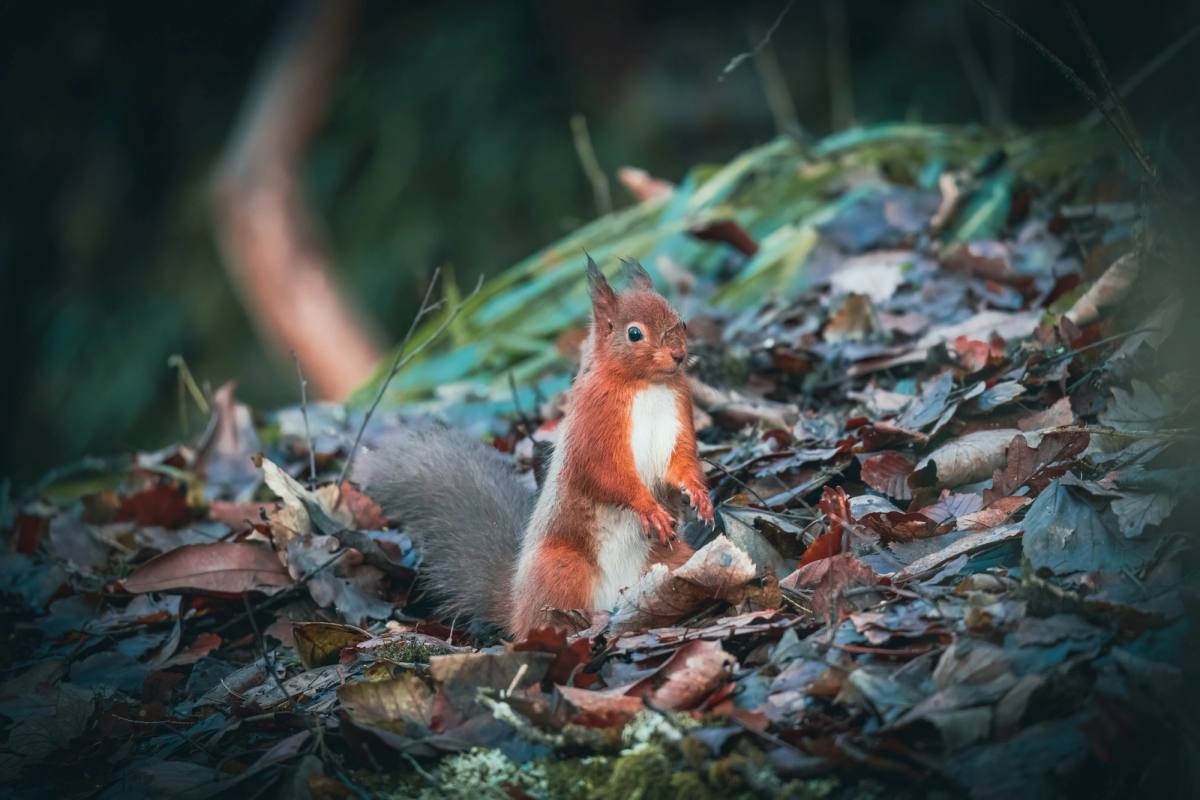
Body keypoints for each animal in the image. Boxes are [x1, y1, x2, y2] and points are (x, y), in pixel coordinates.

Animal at [355, 257, 713, 639]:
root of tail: (516, 602)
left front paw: (699, 495)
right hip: (560, 569)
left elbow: (682, 463)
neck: (646, 385)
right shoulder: (592, 428)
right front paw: (648, 507)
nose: (679, 355)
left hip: (670, 558)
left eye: (682, 320)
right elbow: (604, 473)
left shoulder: (679, 419)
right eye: (634, 333)